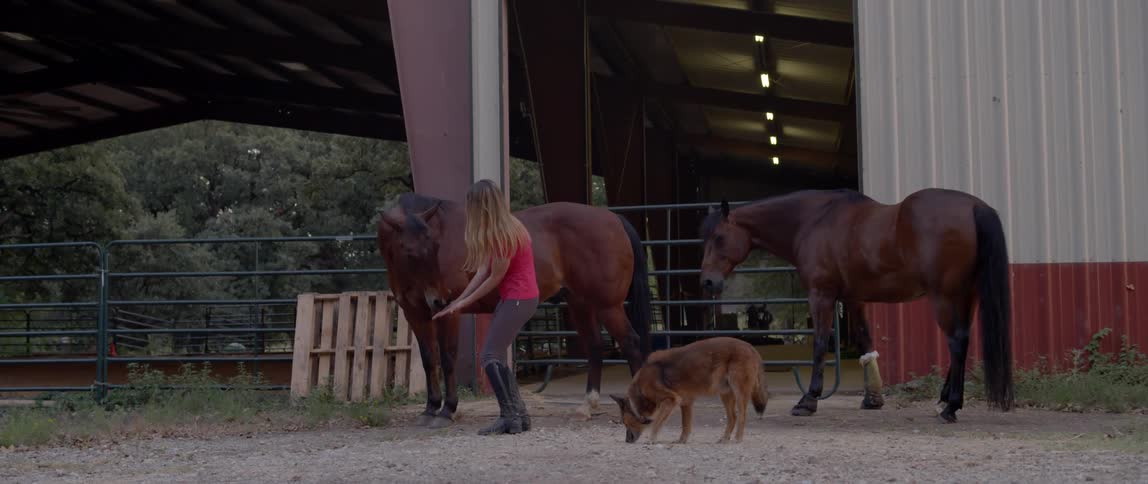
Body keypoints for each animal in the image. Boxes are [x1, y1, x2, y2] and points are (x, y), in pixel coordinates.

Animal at [376, 192, 653, 428]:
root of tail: (613, 219)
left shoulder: (449, 314)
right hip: (580, 304)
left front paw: (447, 410)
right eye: (409, 252)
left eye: (435, 247)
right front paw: (430, 409)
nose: (439, 299)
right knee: (595, 348)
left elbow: (447, 358)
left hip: (608, 306)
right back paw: (586, 407)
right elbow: (428, 359)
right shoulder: (415, 314)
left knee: (630, 343)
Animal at [697, 188, 1014, 423]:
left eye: (720, 237)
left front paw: (808, 400)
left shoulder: (821, 296)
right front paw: (873, 398)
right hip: (967, 297)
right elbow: (865, 341)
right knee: (962, 340)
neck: (812, 222)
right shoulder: (853, 298)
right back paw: (945, 400)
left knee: (957, 341)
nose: (708, 282)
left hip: (945, 297)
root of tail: (974, 206)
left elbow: (819, 345)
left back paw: (951, 407)